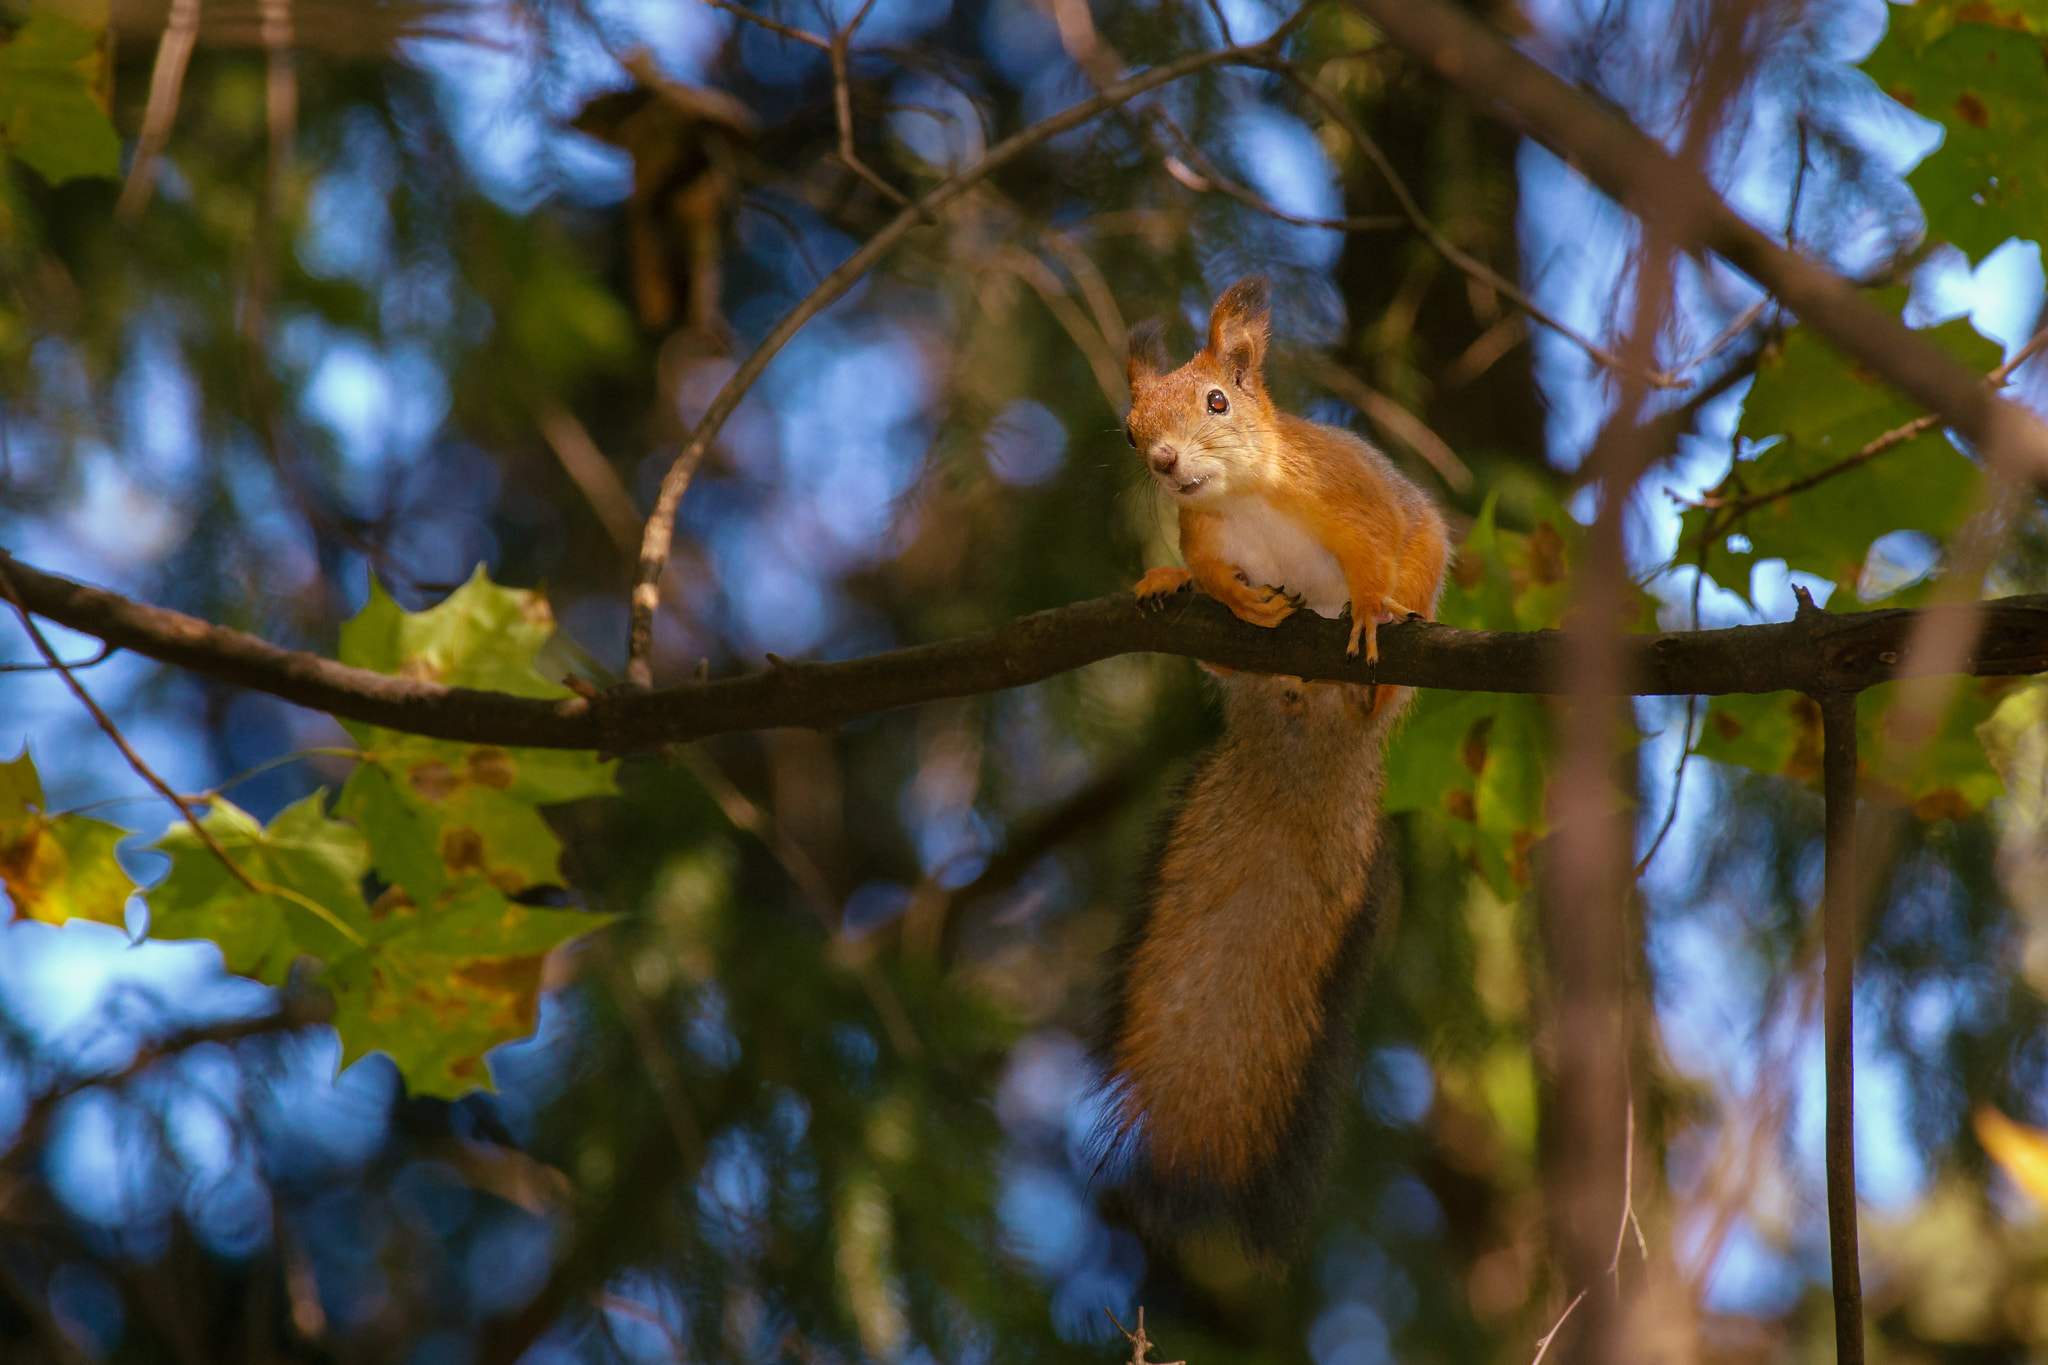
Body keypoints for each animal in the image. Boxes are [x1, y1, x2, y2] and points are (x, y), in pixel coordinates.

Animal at [1097, 278, 1449, 1260]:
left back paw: (1374, 668)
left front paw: (1369, 606)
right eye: (1129, 430)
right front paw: (1206, 587)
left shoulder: (1355, 495)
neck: (1251, 495)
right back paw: (1164, 590)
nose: (1167, 462)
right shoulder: (1202, 527)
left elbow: (1388, 545)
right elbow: (1213, 567)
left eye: (1220, 400)